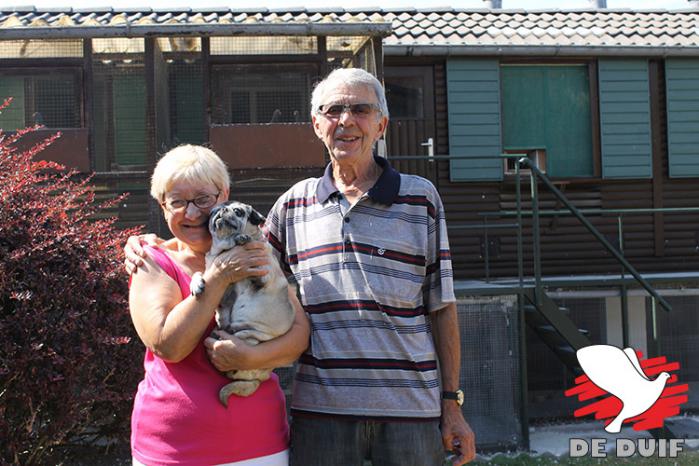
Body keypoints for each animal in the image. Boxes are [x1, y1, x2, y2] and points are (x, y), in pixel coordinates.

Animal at [189, 202, 296, 406]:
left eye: (238, 212)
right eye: (213, 211)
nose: (221, 210)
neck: (223, 251)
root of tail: (259, 379)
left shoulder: (262, 272)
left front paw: (241, 238)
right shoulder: (222, 293)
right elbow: (199, 274)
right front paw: (196, 283)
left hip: (248, 336)